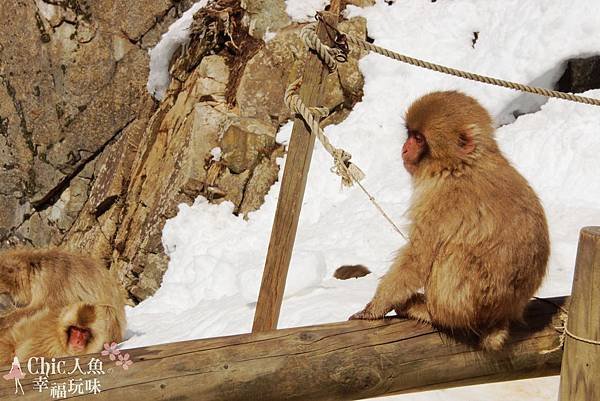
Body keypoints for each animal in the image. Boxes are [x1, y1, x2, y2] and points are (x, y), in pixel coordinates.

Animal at [346, 90, 548, 350]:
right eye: (410, 134)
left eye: (419, 139)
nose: (404, 148)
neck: (461, 164)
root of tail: (500, 316)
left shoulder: (438, 199)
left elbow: (418, 256)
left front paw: (374, 308)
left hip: (460, 305)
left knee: (448, 254)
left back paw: (424, 310)